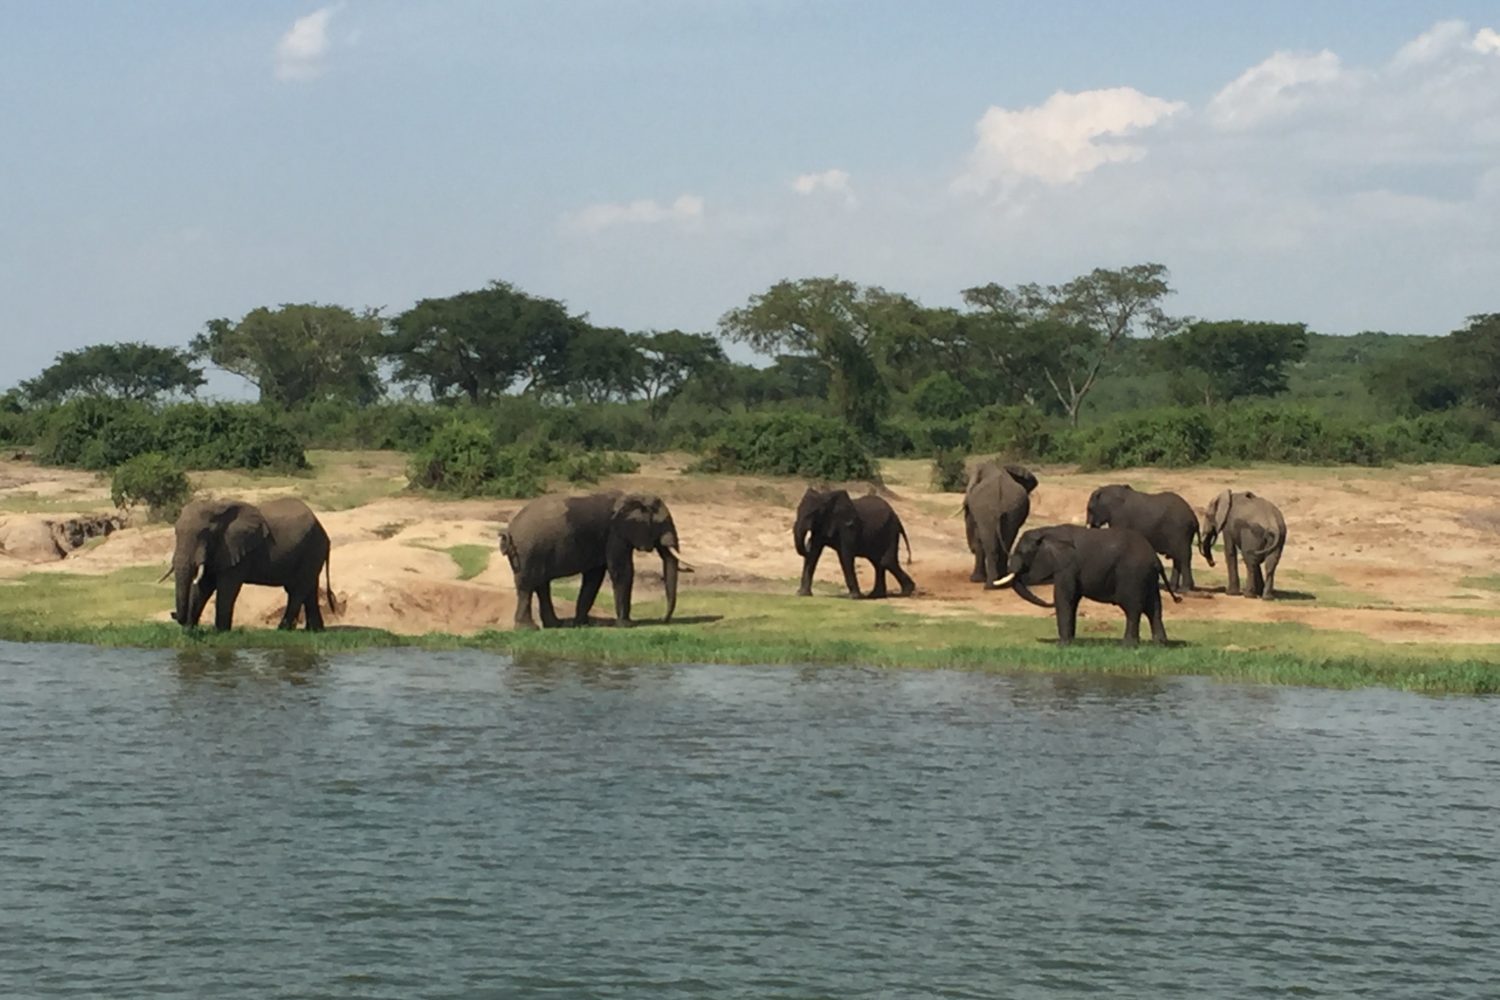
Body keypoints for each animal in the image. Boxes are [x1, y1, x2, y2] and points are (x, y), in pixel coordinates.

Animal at [501, 491, 693, 629]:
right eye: (663, 523)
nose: (663, 620)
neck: (634, 496)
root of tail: (510, 530)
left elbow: (594, 577)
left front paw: (582, 624)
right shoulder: (615, 534)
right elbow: (622, 571)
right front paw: (627, 625)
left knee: (542, 585)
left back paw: (555, 625)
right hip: (529, 551)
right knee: (527, 586)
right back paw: (528, 628)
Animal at [996, 524, 1182, 650]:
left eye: (1022, 553)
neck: (1047, 532)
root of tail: (1155, 558)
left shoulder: (1067, 566)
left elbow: (1064, 597)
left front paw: (1061, 645)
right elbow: (1073, 600)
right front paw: (1070, 642)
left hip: (1133, 575)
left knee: (1133, 609)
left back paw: (1128, 646)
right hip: (1148, 577)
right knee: (1154, 608)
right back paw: (1160, 645)